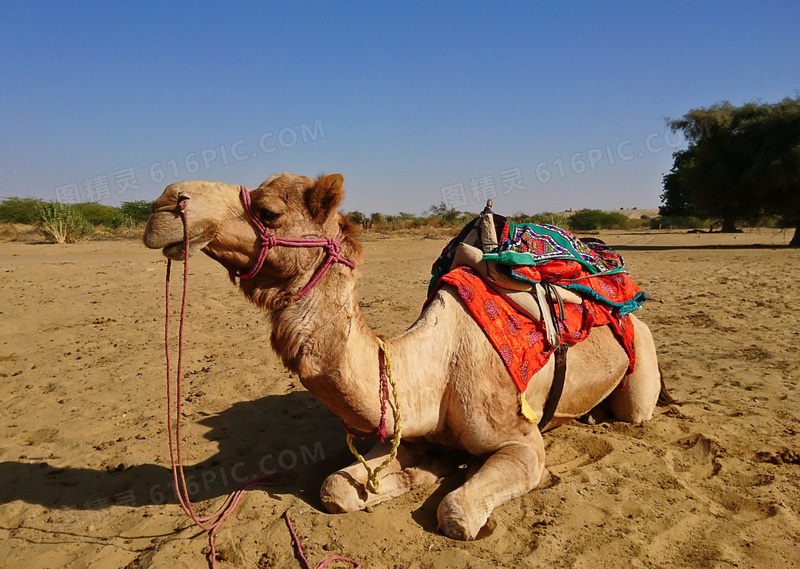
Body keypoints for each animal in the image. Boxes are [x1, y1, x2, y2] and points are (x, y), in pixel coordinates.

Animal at [144, 173, 664, 540]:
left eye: (268, 211)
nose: (167, 202)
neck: (436, 368)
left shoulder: (523, 442)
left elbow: (457, 512)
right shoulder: (407, 429)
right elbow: (335, 487)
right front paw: (418, 473)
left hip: (640, 355)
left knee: (634, 410)